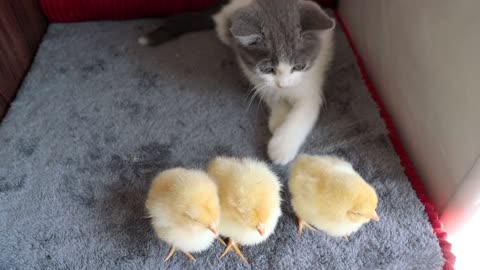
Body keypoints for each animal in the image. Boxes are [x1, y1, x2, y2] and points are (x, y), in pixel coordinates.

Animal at [214, 0, 334, 165]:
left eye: (298, 67)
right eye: (267, 69)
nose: (282, 84)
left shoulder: (310, 85)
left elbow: (303, 113)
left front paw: (281, 147)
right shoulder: (255, 77)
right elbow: (271, 95)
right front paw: (279, 120)